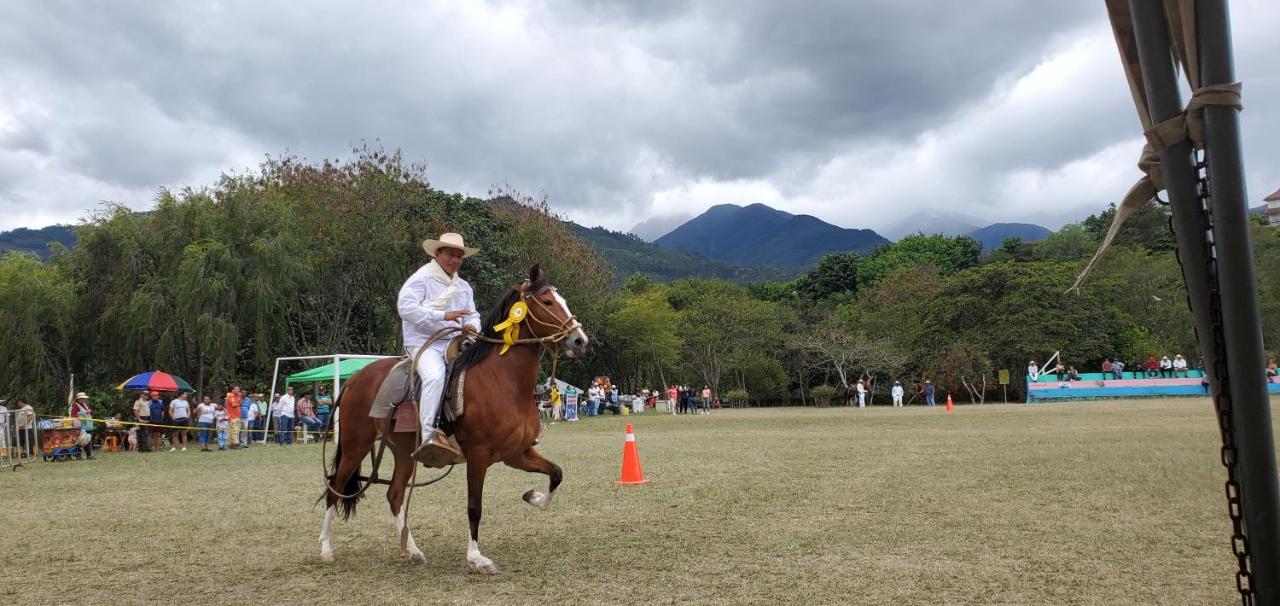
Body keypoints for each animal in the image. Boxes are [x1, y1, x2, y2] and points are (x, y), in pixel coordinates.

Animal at [317, 263, 586, 571]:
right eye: (548, 301)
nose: (580, 340)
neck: (503, 381)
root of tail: (353, 379)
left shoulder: (517, 453)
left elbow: (556, 473)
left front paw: (534, 497)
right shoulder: (479, 456)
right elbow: (474, 507)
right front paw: (476, 558)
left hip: (403, 452)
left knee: (394, 494)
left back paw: (412, 550)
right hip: (355, 445)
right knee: (335, 489)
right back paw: (325, 549)